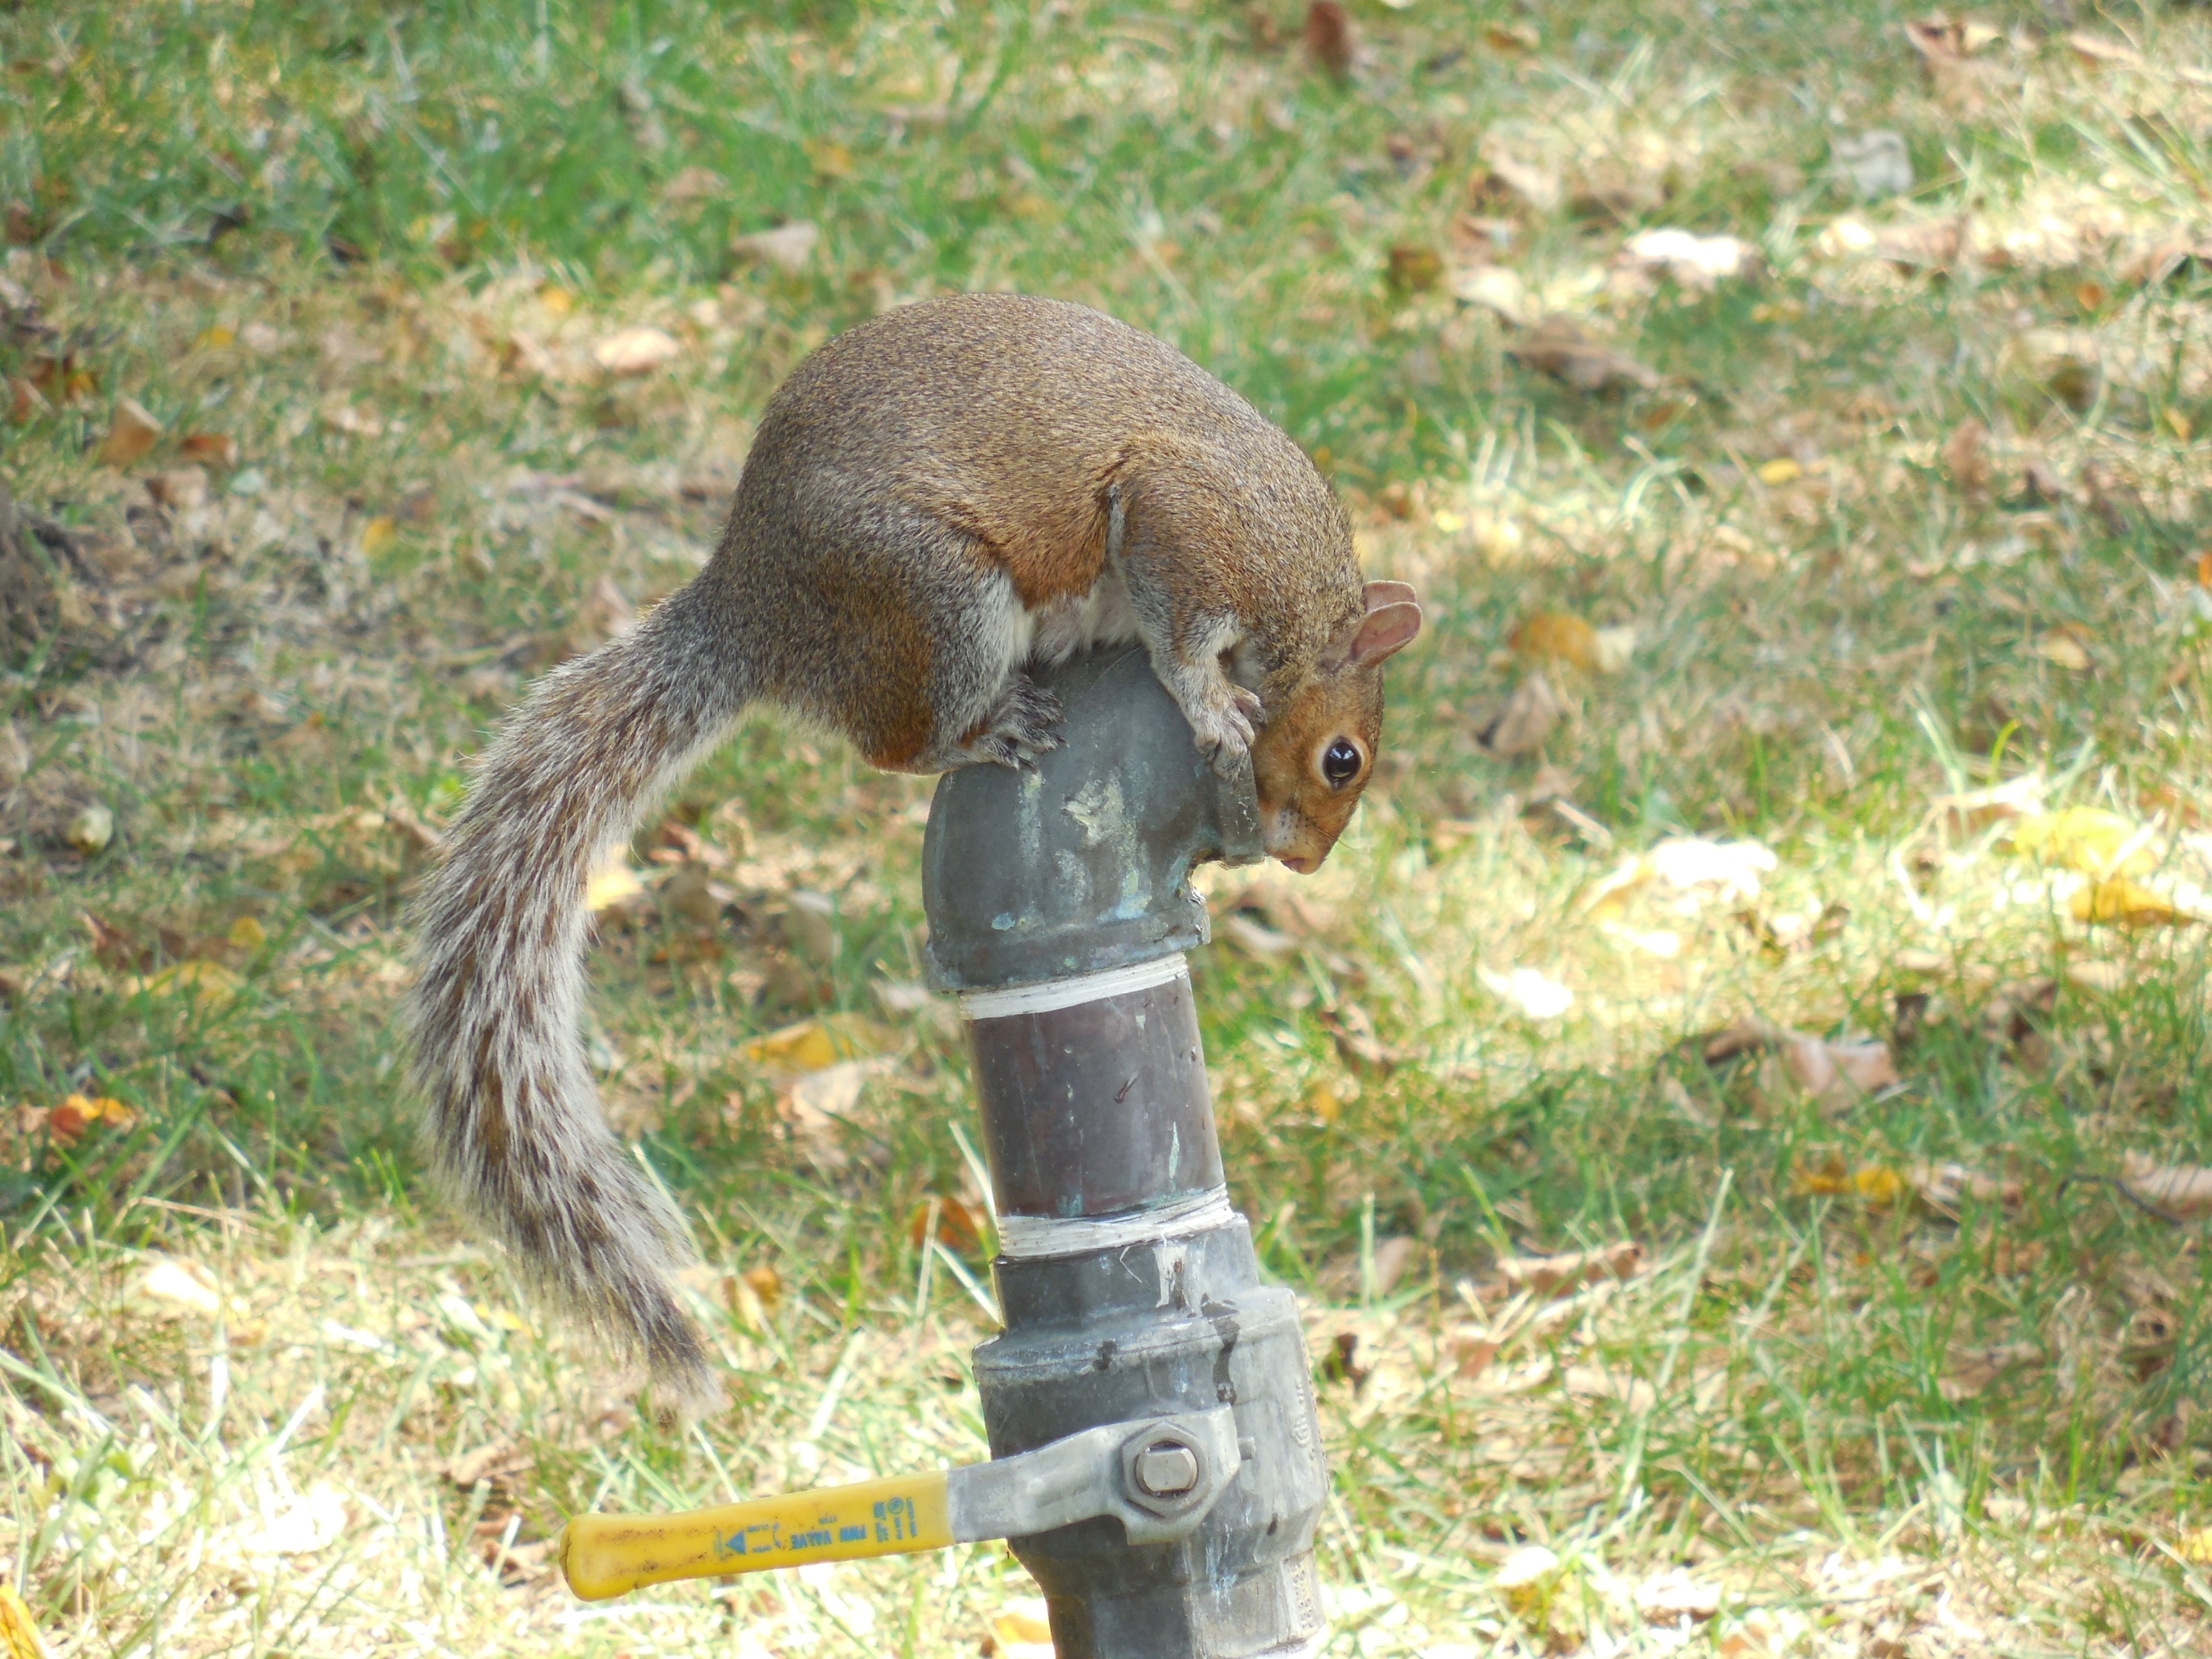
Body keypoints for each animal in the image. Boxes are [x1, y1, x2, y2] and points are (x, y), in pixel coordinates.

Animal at [407, 289, 1424, 1416]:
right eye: (1342, 759)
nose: (1304, 864)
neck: (1304, 599)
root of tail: (750, 606)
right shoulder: (1192, 523)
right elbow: (1182, 625)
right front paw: (1208, 699)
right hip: (936, 597)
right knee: (890, 741)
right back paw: (982, 732)